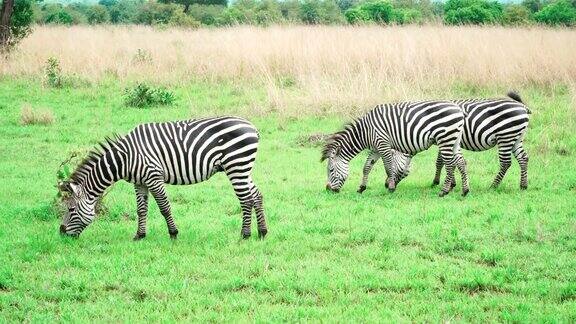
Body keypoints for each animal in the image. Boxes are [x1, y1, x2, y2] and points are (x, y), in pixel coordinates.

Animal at [57, 116, 268, 240]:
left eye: (71, 209)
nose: (61, 233)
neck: (125, 159)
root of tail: (252, 126)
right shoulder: (140, 182)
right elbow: (141, 210)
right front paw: (139, 235)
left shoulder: (153, 177)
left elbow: (164, 207)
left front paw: (173, 234)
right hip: (243, 168)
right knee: (256, 195)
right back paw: (262, 232)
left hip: (236, 166)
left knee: (246, 199)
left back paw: (245, 235)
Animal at [322, 98, 470, 196]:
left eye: (330, 170)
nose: (328, 190)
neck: (365, 132)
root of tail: (458, 109)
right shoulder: (376, 148)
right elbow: (367, 167)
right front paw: (362, 187)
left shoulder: (383, 144)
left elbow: (388, 167)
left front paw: (391, 187)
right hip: (454, 140)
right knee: (460, 162)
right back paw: (464, 190)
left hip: (445, 138)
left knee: (450, 164)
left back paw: (444, 191)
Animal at [360, 91, 532, 192]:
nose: (386, 184)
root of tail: (522, 106)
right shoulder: (445, 140)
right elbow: (448, 161)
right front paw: (451, 183)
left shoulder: (445, 139)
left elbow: (441, 162)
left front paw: (439, 182)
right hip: (515, 137)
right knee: (523, 158)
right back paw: (523, 185)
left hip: (505, 136)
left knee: (506, 163)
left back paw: (493, 186)